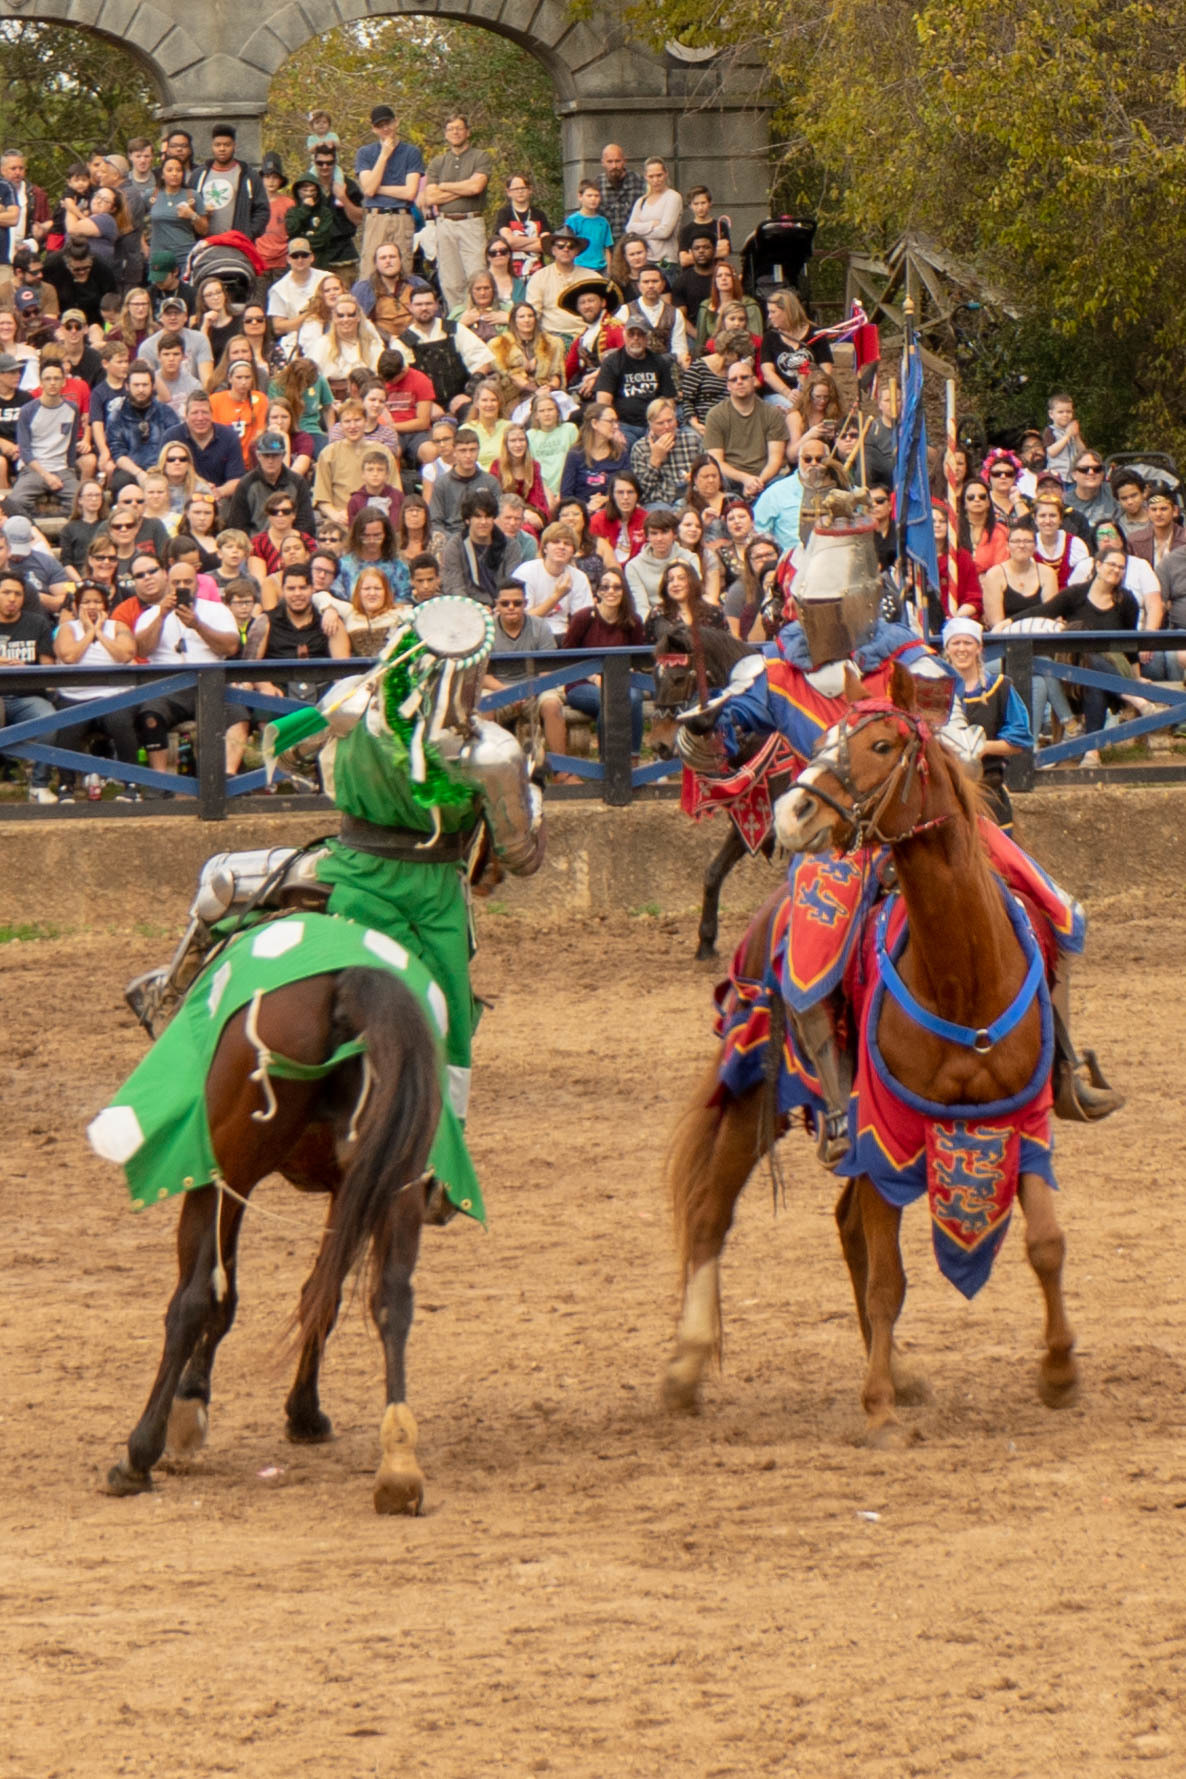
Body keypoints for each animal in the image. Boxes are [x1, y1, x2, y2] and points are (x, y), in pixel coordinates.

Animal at [106, 967, 444, 1522]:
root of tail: (346, 986)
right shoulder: (347, 1189)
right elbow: (321, 1298)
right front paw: (304, 1413)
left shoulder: (227, 1181)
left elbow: (219, 1298)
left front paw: (190, 1404)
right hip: (397, 1179)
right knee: (392, 1299)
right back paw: (399, 1466)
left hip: (222, 1170)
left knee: (191, 1300)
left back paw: (138, 1455)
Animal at [665, 668, 1081, 1444]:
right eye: (825, 740)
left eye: (883, 745)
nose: (794, 811)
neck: (962, 975)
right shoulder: (882, 1131)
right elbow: (890, 1275)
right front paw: (879, 1406)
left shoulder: (1027, 1121)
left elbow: (1046, 1243)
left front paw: (1060, 1371)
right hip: (757, 1096)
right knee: (711, 1213)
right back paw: (687, 1364)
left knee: (846, 1226)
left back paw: (900, 1368)